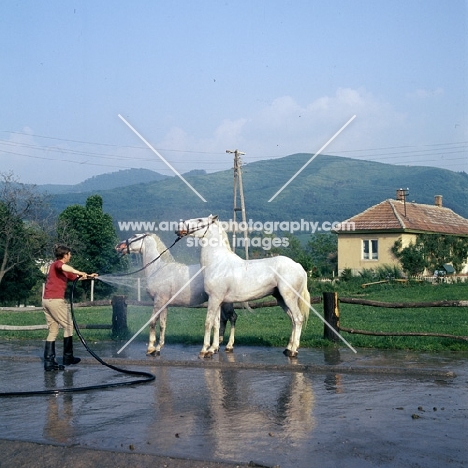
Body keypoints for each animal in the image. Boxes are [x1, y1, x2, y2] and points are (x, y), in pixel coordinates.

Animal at [176, 216, 310, 358]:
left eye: (200, 220)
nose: (179, 227)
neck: (218, 262)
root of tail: (298, 266)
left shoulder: (214, 299)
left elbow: (208, 323)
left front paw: (204, 350)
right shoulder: (218, 301)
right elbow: (216, 323)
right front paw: (212, 349)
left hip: (289, 298)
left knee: (298, 319)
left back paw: (293, 350)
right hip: (281, 299)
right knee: (292, 320)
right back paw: (288, 348)